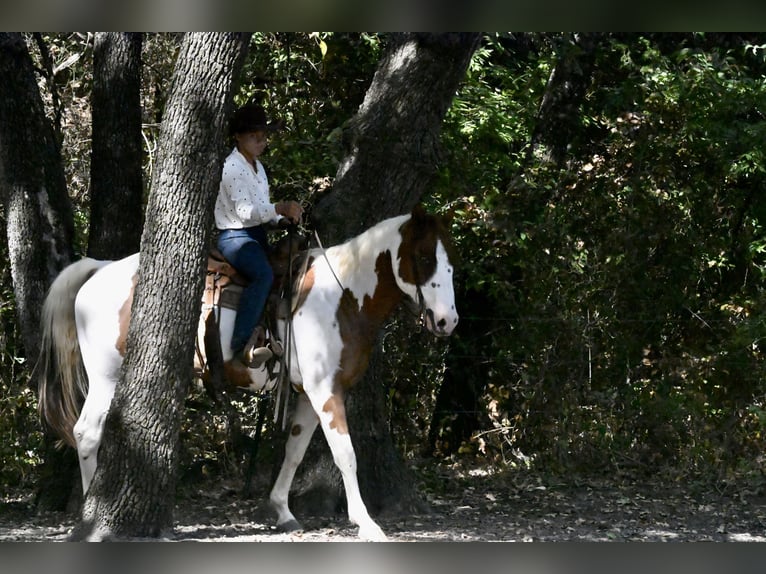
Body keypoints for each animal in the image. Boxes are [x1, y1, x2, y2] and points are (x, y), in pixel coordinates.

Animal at [35, 204, 459, 541]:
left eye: (451, 264)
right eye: (424, 259)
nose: (447, 321)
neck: (342, 297)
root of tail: (100, 270)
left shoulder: (309, 394)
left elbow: (294, 450)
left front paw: (283, 512)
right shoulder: (326, 391)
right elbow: (346, 454)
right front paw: (367, 524)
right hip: (105, 378)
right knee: (86, 433)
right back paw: (90, 513)